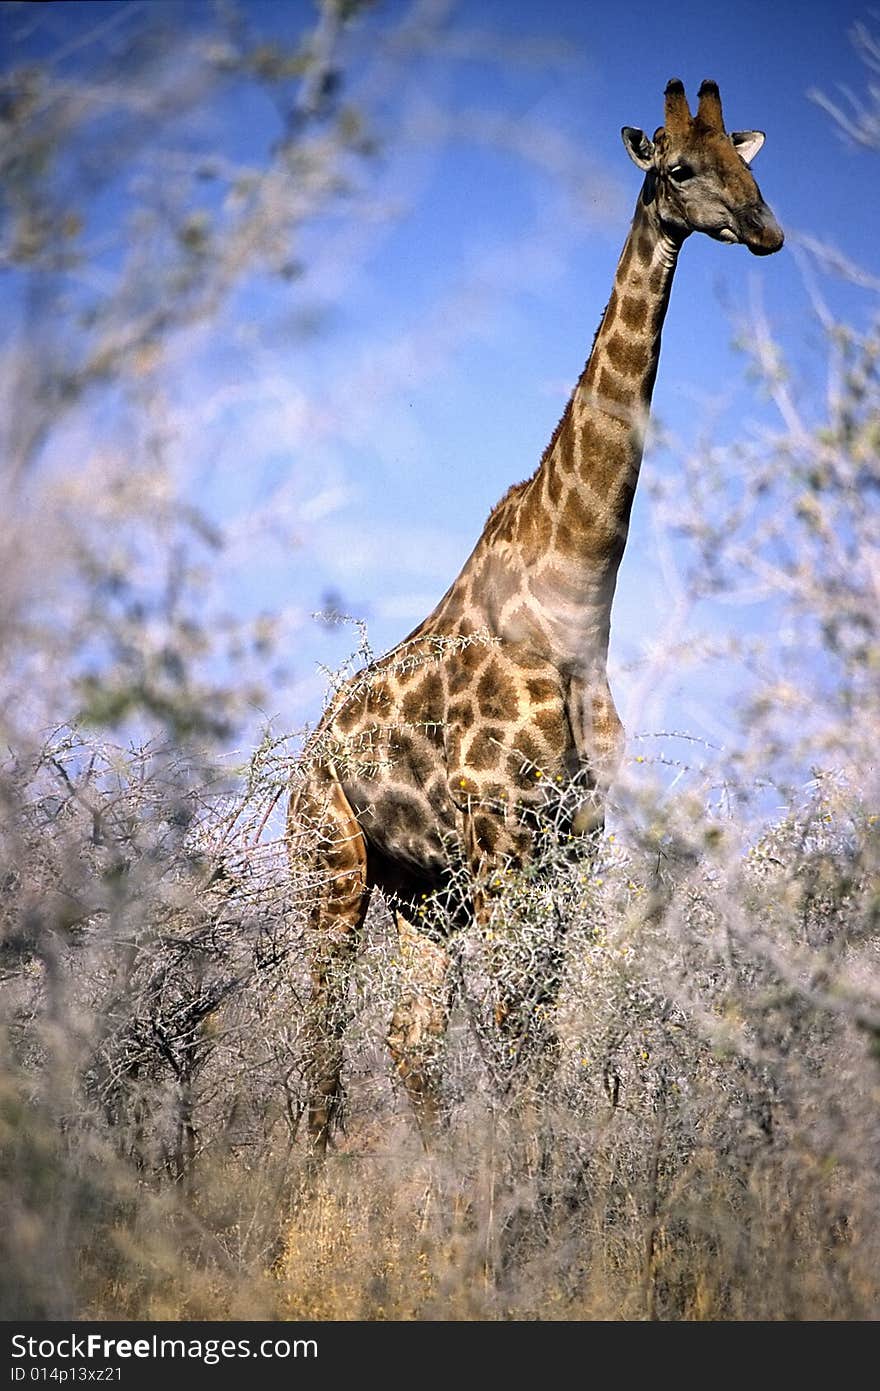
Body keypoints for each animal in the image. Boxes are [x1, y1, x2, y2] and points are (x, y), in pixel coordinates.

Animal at [287, 81, 784, 1157]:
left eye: (749, 163)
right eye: (677, 169)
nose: (766, 232)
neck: (574, 604)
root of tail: (305, 756)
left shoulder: (576, 839)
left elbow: (542, 1027)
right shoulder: (501, 832)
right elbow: (517, 1023)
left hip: (423, 896)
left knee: (408, 1036)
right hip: (330, 864)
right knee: (321, 1023)